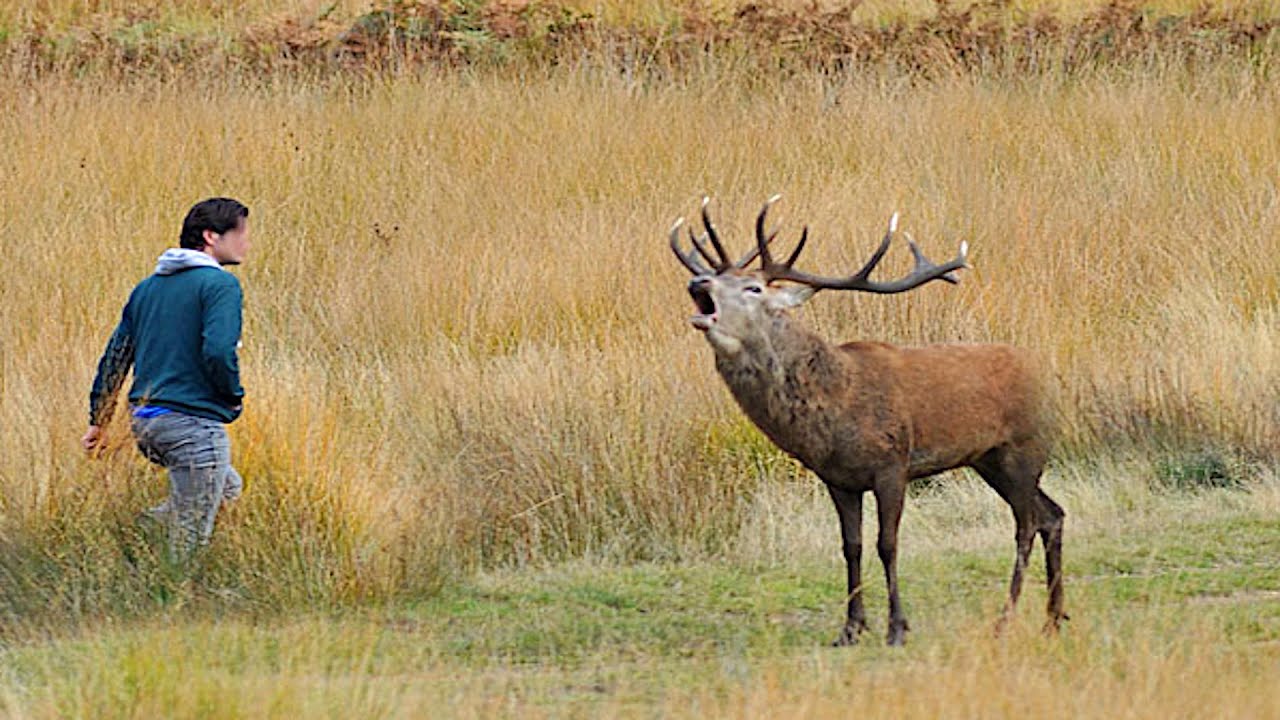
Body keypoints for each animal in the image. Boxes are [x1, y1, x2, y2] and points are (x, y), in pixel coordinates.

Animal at [675, 196, 1064, 645]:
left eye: (753, 287)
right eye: (716, 278)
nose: (698, 282)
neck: (836, 410)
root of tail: (1050, 375)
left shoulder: (892, 465)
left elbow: (887, 544)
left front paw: (896, 628)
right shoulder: (838, 479)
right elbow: (852, 546)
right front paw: (850, 628)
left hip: (1024, 447)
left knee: (1027, 525)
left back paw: (1006, 619)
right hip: (990, 460)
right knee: (1052, 515)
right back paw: (1053, 619)